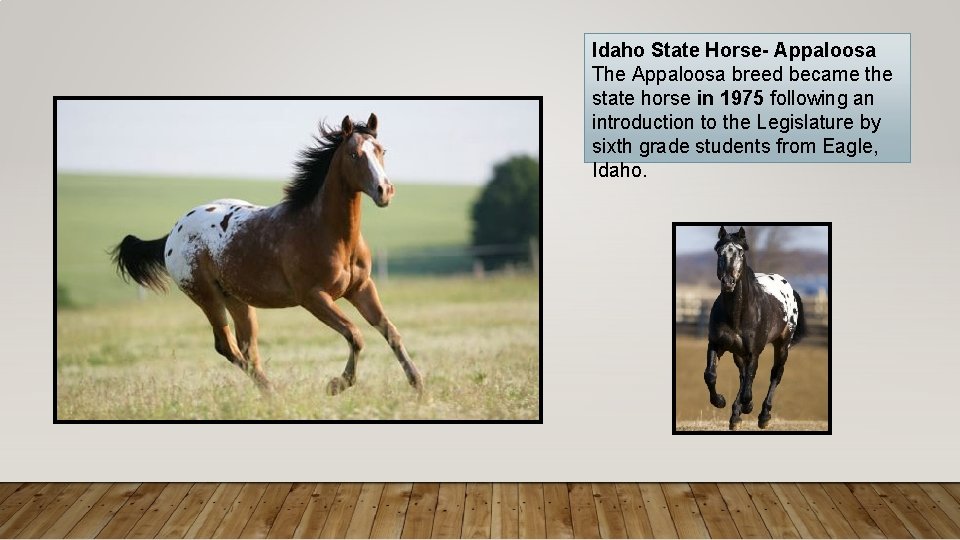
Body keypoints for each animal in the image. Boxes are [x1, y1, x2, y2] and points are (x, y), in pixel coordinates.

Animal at [111, 114, 423, 397]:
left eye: (382, 151)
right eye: (354, 154)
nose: (385, 190)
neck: (326, 231)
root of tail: (173, 233)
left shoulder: (361, 288)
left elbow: (390, 331)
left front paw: (418, 385)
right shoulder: (314, 298)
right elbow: (355, 335)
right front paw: (336, 385)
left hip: (237, 300)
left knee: (247, 350)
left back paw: (271, 395)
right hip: (207, 297)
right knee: (227, 347)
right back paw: (274, 394)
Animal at [704, 226, 806, 430]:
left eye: (741, 253)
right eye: (719, 252)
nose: (728, 282)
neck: (737, 314)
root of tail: (789, 288)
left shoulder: (753, 352)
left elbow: (748, 386)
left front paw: (748, 406)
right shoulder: (716, 345)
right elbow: (710, 375)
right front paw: (720, 401)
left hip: (782, 345)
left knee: (775, 374)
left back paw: (763, 416)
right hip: (738, 353)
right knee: (743, 376)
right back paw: (735, 417)